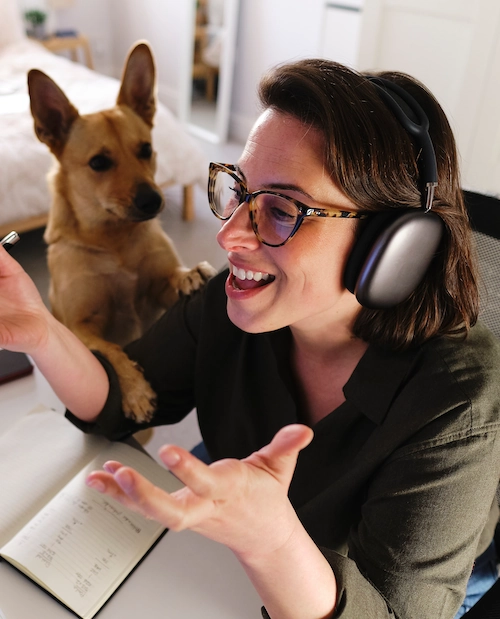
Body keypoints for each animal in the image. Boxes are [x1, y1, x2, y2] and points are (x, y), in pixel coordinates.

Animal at [27, 42, 215, 422]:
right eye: (99, 163)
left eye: (146, 149)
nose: (153, 201)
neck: (113, 239)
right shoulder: (81, 327)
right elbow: (113, 350)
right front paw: (135, 392)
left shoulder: (157, 297)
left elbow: (171, 277)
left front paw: (188, 274)